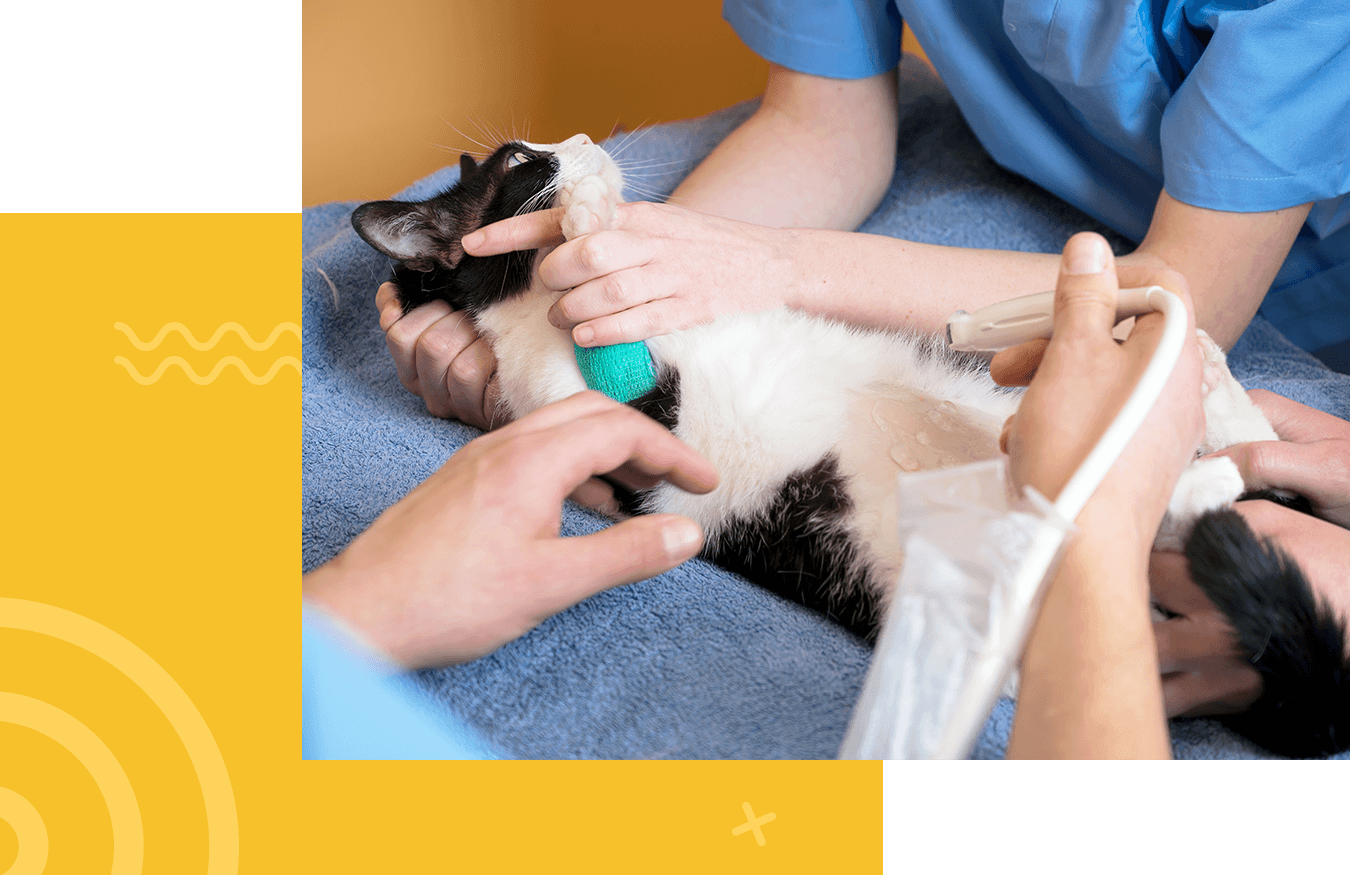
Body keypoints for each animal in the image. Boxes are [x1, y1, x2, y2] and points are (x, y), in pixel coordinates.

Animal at [351, 136, 1350, 756]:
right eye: (522, 161)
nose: (587, 144)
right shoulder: (622, 423)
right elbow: (604, 378)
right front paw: (588, 209)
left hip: (986, 395)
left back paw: (1197, 378)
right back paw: (1173, 476)